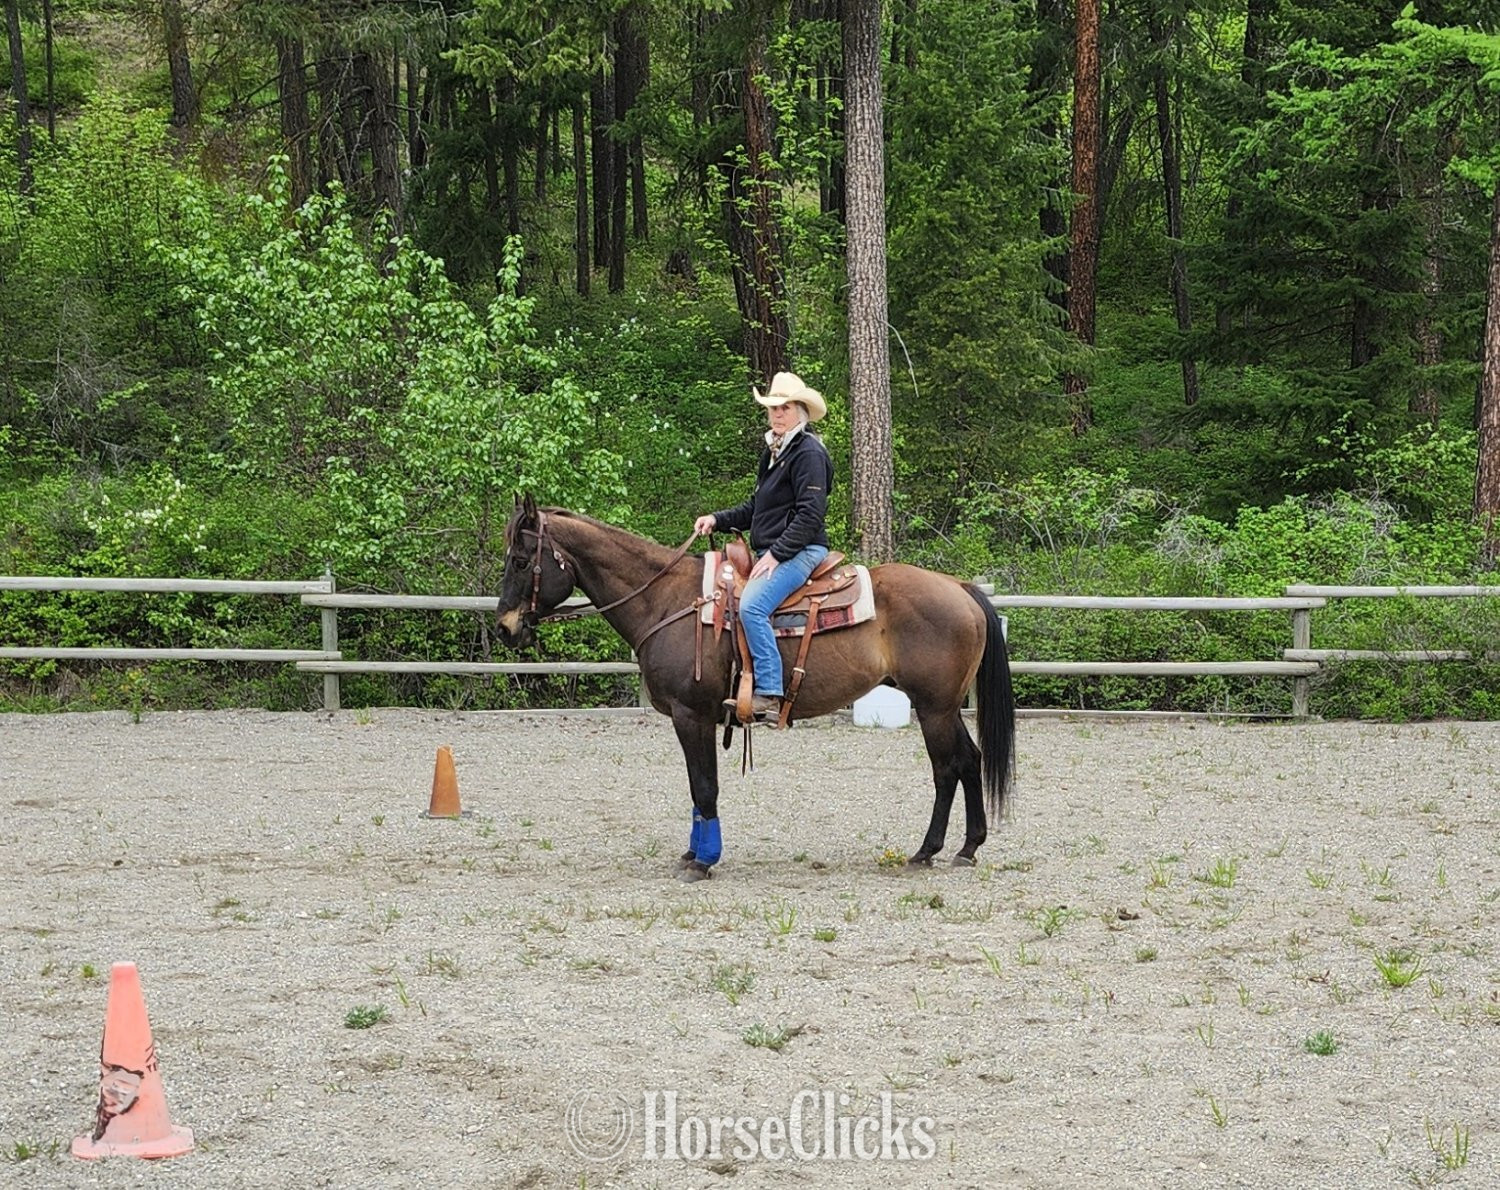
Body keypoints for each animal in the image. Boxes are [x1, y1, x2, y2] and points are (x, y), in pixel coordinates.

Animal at [494, 495, 1016, 880]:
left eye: (520, 560)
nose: (504, 628)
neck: (666, 600)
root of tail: (959, 587)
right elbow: (696, 789)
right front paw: (693, 854)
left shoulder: (691, 714)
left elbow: (704, 786)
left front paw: (703, 862)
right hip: (945, 707)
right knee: (970, 760)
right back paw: (968, 847)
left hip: (934, 708)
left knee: (947, 769)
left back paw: (926, 850)